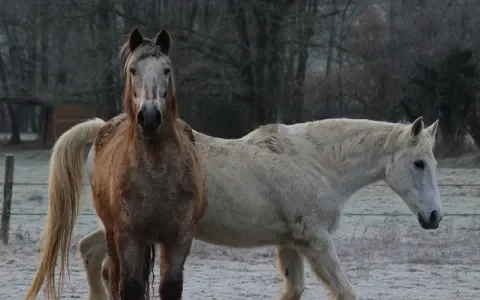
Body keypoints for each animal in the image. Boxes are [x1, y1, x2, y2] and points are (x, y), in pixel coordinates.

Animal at [23, 27, 206, 298]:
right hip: (111, 234)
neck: (157, 174)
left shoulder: (179, 238)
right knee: (111, 272)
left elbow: (170, 288)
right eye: (133, 70)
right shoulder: (128, 237)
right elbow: (129, 286)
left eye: (166, 69)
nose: (149, 117)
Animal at [28, 115, 442, 300]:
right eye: (419, 163)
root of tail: (103, 132)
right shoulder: (317, 242)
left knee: (89, 252)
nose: (434, 217)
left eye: (432, 162)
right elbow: (346, 291)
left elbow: (293, 290)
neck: (314, 162)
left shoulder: (291, 244)